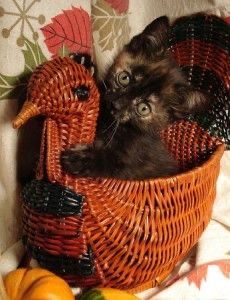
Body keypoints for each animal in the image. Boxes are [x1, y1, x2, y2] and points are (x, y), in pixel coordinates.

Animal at [61, 16, 207, 179]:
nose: (116, 104)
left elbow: (112, 162)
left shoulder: (132, 162)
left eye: (143, 108)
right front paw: (84, 64)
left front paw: (80, 160)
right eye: (124, 78)